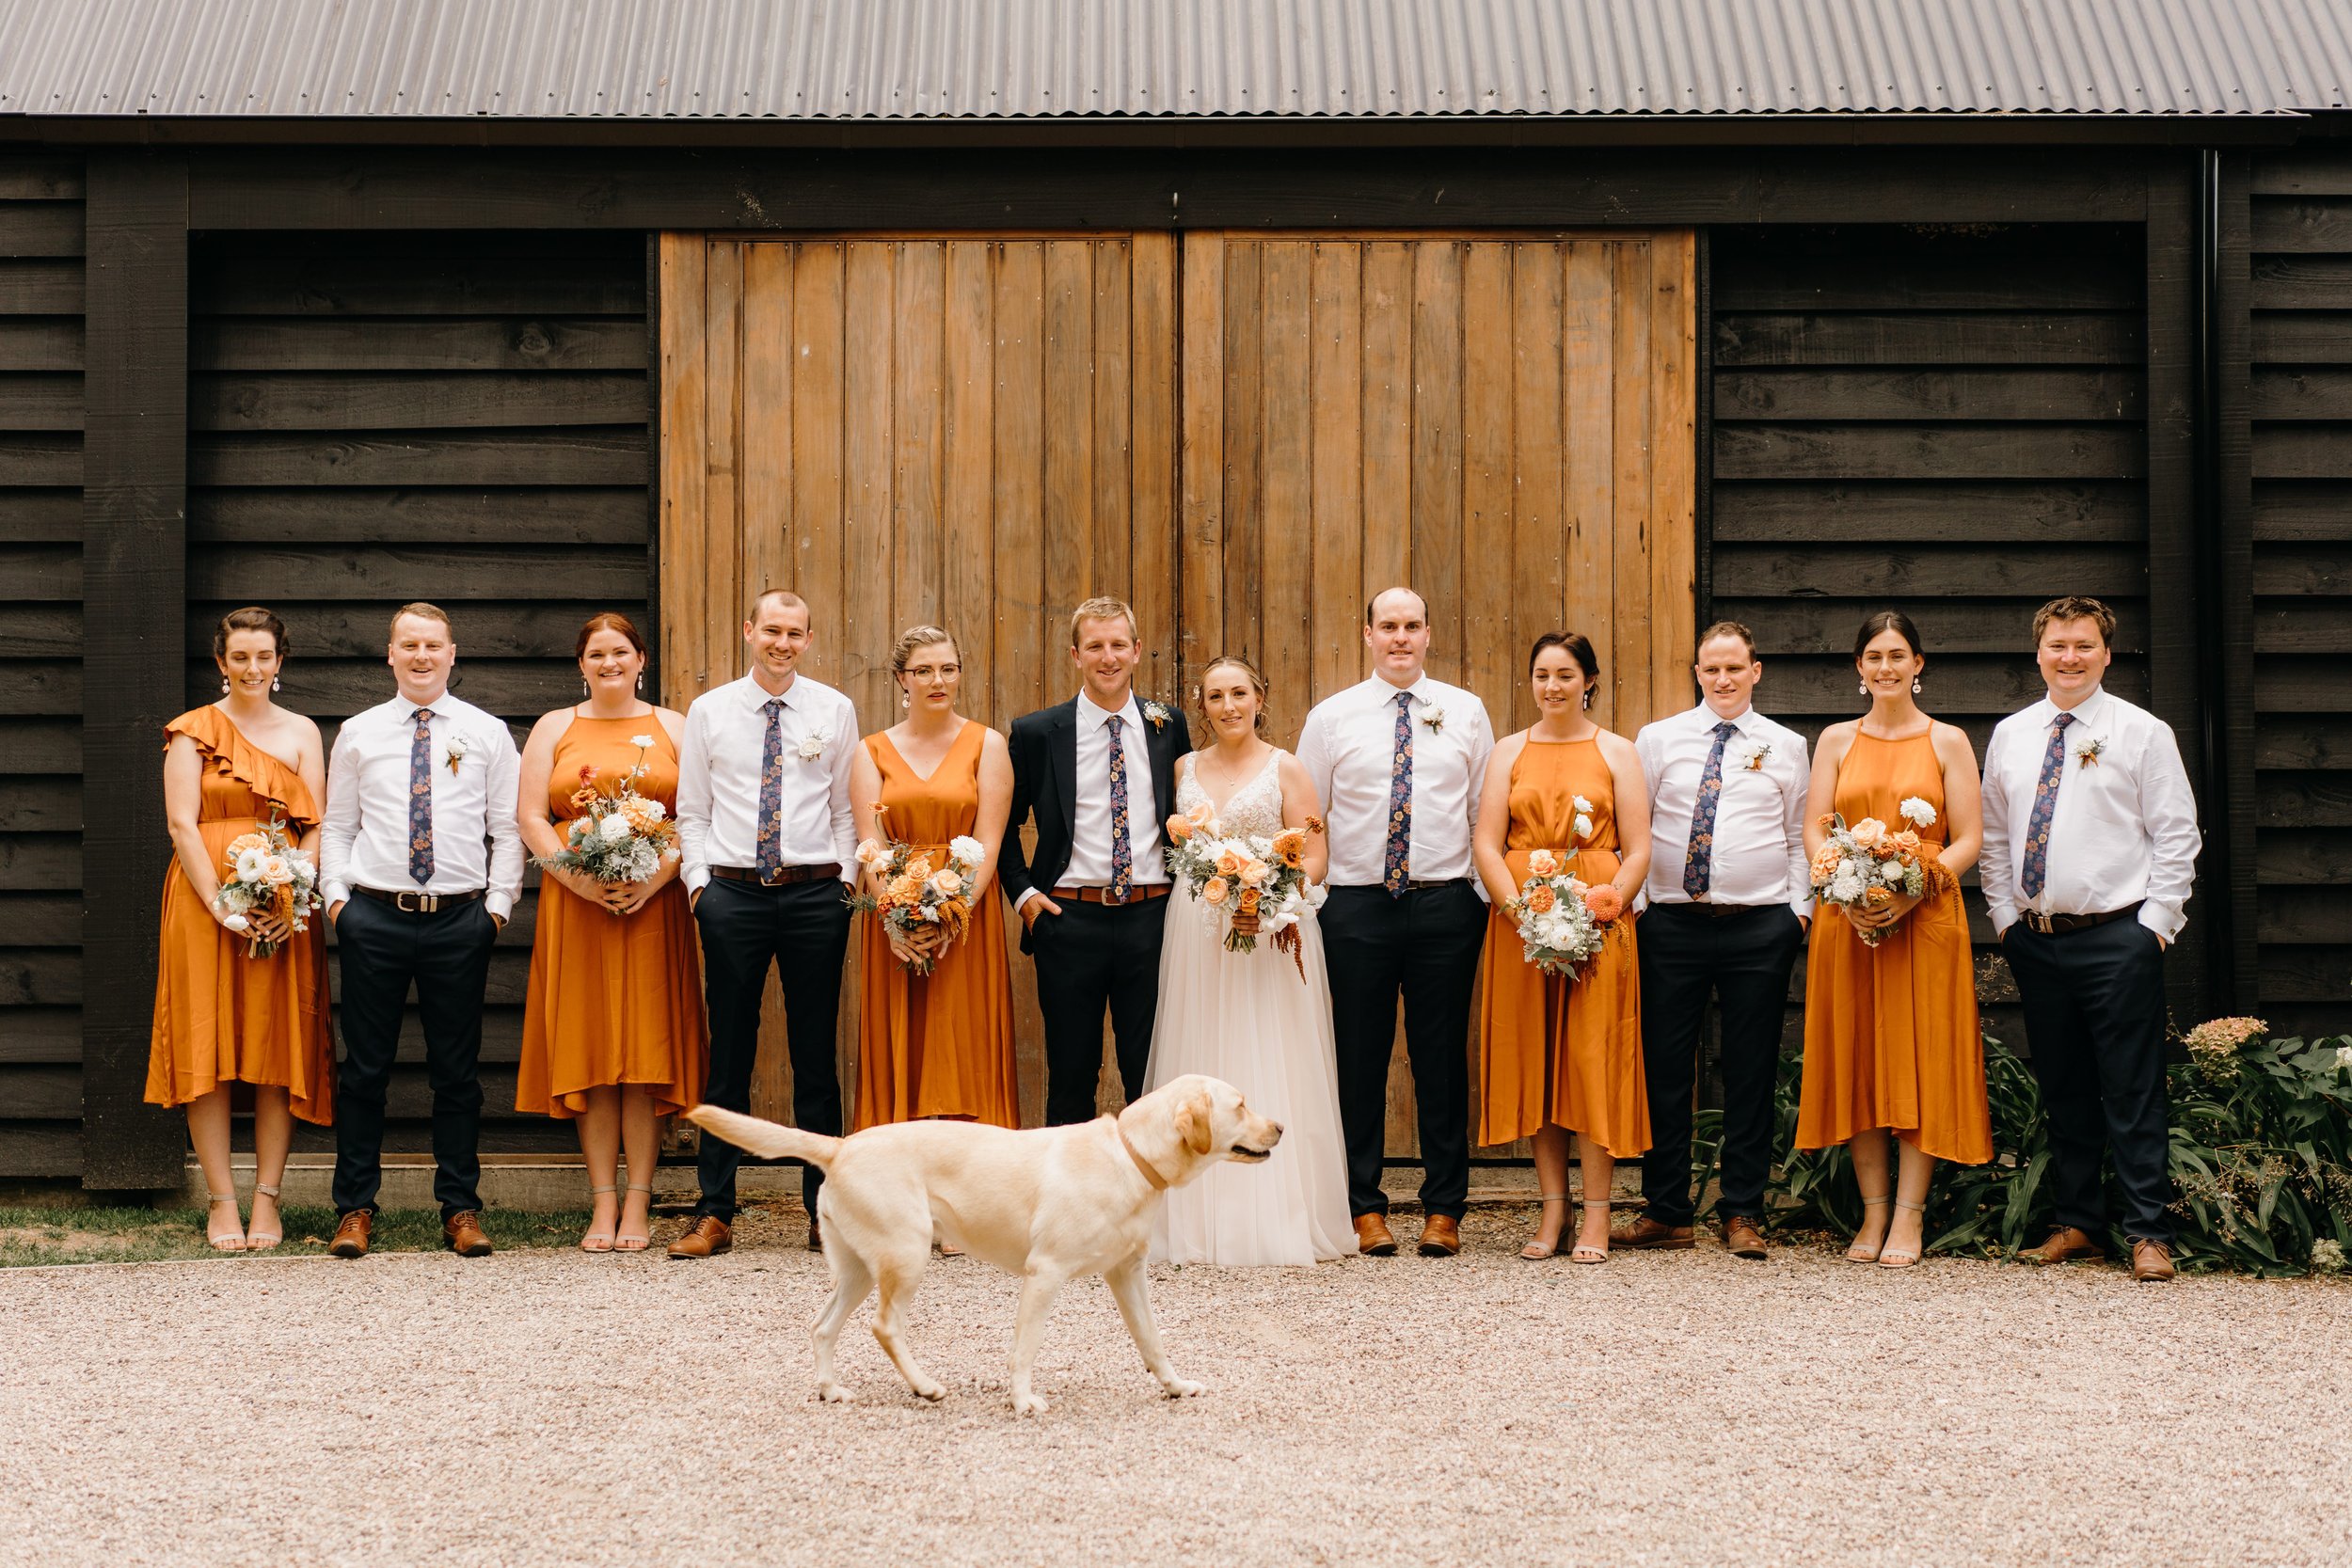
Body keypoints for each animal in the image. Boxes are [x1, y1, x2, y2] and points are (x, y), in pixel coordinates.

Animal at [687, 1071, 1279, 1419]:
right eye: (1241, 1104)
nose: (1279, 1127)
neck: (1130, 1155)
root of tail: (840, 1145)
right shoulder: (1045, 1274)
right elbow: (1024, 1349)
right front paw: (1021, 1401)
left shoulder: (1127, 1275)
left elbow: (1152, 1342)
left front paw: (1175, 1387)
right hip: (906, 1255)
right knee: (885, 1326)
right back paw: (925, 1386)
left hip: (857, 1268)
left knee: (822, 1326)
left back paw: (831, 1391)